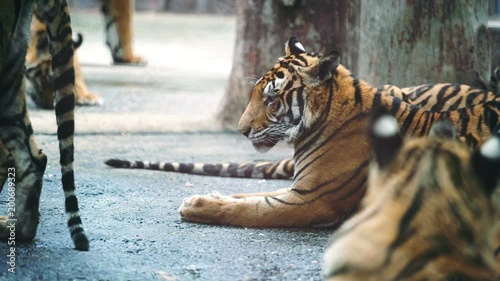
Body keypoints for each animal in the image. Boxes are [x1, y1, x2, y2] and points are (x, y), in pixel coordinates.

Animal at [107, 36, 498, 226]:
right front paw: (211, 195)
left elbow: (249, 210)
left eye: (271, 98)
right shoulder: (298, 187)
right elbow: (246, 196)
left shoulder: (312, 199)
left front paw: (197, 205)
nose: (241, 130)